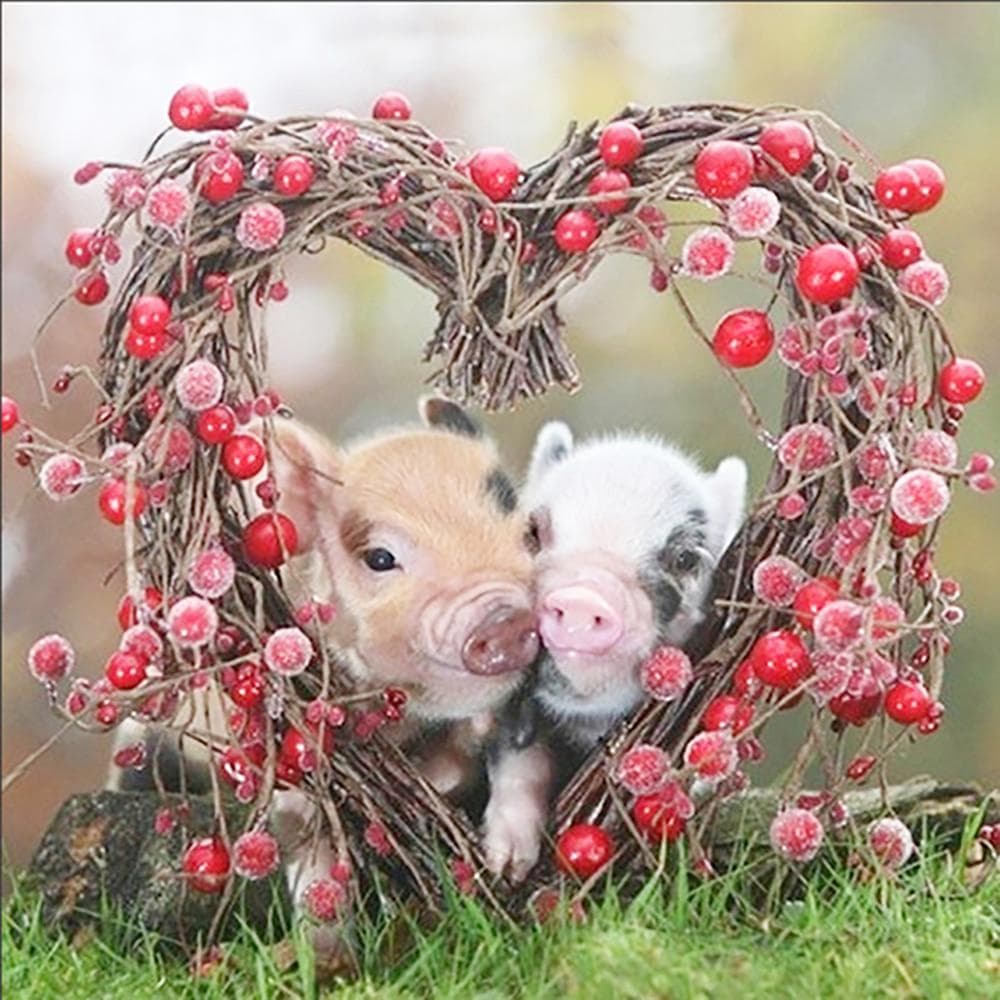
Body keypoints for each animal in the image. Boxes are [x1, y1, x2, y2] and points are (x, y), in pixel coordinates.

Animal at [109, 397, 539, 952]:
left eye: (528, 532)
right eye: (380, 558)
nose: (504, 619)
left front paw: (504, 864)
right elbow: (311, 861)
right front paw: (327, 959)